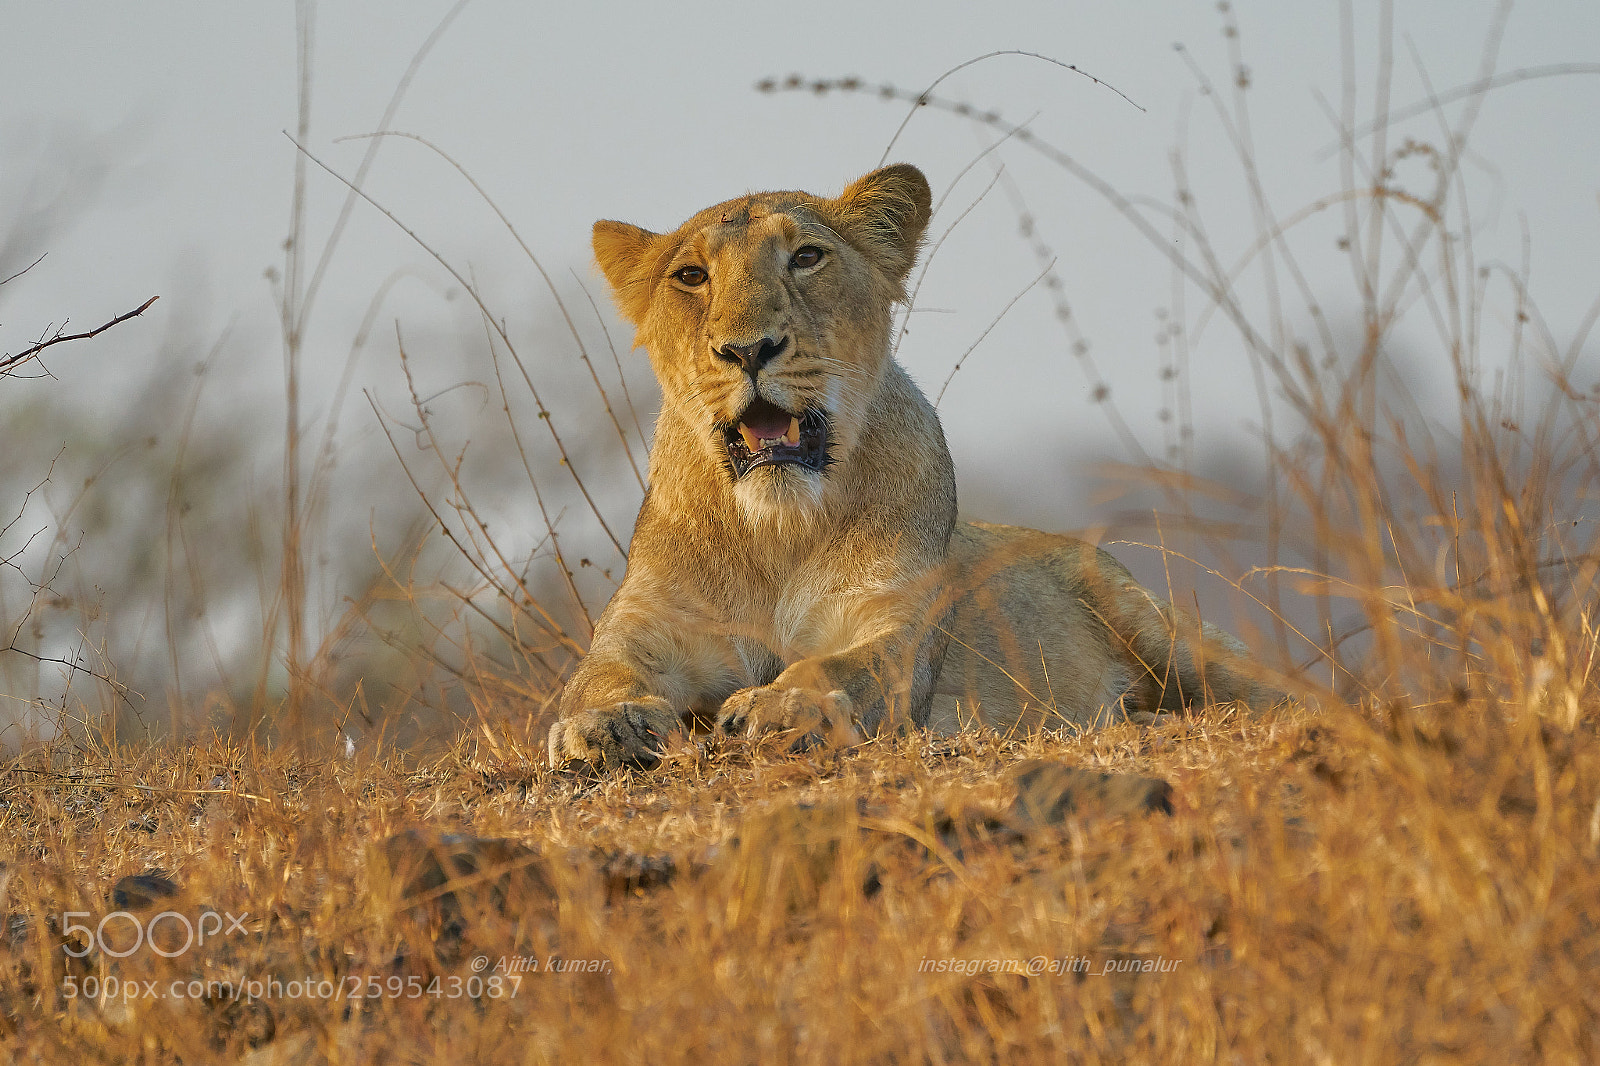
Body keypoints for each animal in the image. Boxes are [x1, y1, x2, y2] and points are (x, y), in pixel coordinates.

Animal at [548, 163, 1275, 769]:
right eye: (692, 276)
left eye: (806, 257)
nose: (749, 349)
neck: (777, 529)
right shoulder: (646, 631)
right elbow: (595, 681)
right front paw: (605, 726)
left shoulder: (893, 623)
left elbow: (839, 667)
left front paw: (775, 706)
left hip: (1163, 629)